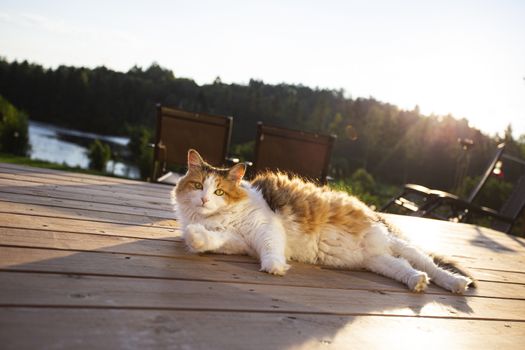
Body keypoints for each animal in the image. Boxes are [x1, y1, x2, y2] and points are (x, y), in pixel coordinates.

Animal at [174, 149, 472, 294]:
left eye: (219, 192)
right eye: (198, 186)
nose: (204, 200)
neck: (222, 217)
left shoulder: (266, 227)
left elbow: (271, 249)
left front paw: (275, 267)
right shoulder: (238, 241)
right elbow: (212, 240)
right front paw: (196, 238)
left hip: (397, 245)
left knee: (431, 266)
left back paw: (456, 283)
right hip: (378, 261)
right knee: (407, 270)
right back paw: (417, 283)